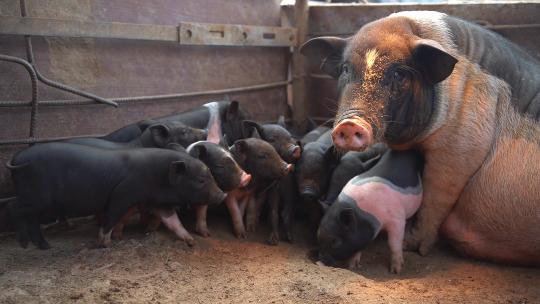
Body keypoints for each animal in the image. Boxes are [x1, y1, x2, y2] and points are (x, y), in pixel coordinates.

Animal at [302, 10, 540, 264]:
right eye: (346, 69)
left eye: (399, 73)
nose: (349, 124)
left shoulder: (460, 147)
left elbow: (434, 199)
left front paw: (411, 247)